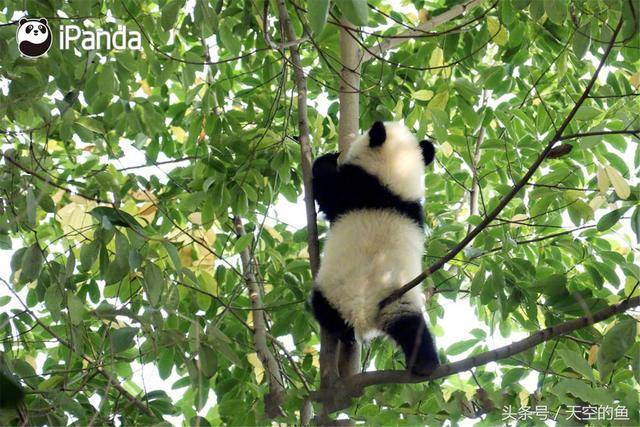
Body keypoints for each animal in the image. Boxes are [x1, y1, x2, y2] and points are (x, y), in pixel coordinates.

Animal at [310, 121, 440, 378]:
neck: (391, 186)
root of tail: (364, 314)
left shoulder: (354, 188)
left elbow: (326, 190)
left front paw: (326, 159)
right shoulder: (415, 211)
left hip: (334, 292)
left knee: (323, 310)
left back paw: (344, 334)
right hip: (398, 302)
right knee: (414, 329)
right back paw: (426, 364)